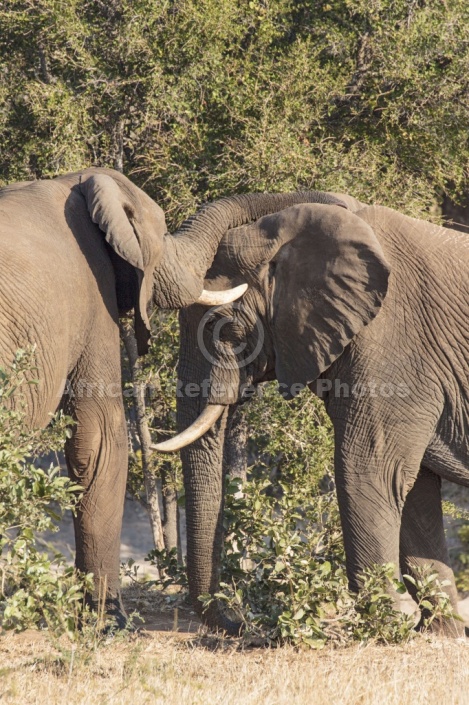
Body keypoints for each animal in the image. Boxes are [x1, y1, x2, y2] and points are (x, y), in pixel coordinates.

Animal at [154, 190, 468, 636]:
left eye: (225, 330)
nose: (238, 621)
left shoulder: (395, 348)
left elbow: (369, 469)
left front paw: (390, 621)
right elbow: (413, 489)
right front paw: (437, 633)